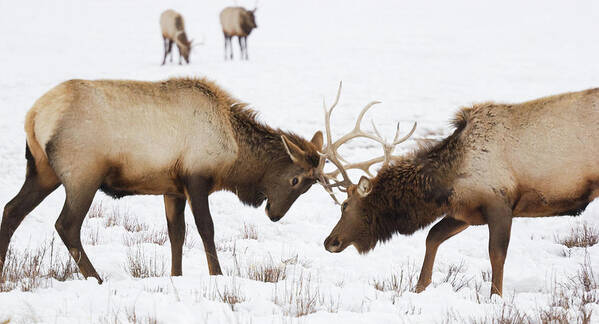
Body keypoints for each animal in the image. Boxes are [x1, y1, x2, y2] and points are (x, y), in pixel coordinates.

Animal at [0, 78, 326, 284]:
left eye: (308, 186)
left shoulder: (173, 188)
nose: (275, 214)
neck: (233, 154)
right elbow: (206, 229)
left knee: (12, 210)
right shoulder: (196, 178)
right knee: (66, 225)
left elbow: (176, 233)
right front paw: (217, 275)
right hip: (82, 174)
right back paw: (96, 278)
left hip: (42, 171)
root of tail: (33, 116)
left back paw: (3, 270)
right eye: (296, 180)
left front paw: (176, 276)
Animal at [318, 83, 599, 296]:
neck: (449, 178)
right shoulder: (466, 212)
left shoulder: (499, 203)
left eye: (345, 205)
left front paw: (495, 298)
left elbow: (496, 254)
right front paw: (419, 288)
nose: (329, 241)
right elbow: (432, 236)